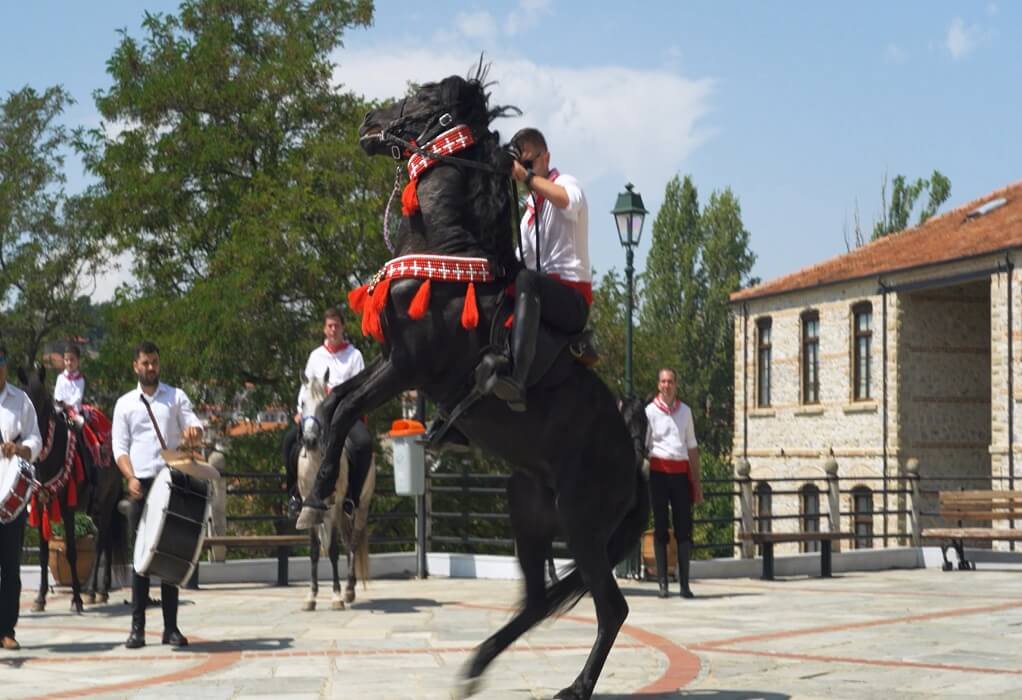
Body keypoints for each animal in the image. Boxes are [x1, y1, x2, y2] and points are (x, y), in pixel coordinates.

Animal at [296, 374, 376, 609]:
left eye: (324, 404)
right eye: (302, 402)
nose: (310, 440)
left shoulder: (333, 507)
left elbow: (332, 550)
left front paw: (336, 596)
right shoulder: (308, 506)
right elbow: (314, 550)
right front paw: (311, 596)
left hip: (360, 506)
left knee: (354, 541)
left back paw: (349, 589)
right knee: (348, 540)